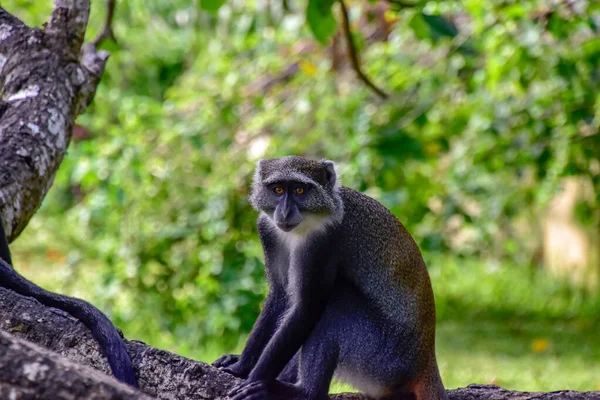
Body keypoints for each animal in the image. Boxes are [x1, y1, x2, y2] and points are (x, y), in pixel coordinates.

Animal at [213, 156, 448, 400]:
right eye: (277, 190)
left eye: (299, 190)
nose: (284, 212)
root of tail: (426, 360)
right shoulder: (267, 230)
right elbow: (279, 296)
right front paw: (240, 366)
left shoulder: (324, 239)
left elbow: (307, 307)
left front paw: (254, 379)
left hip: (383, 361)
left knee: (336, 303)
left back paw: (301, 391)